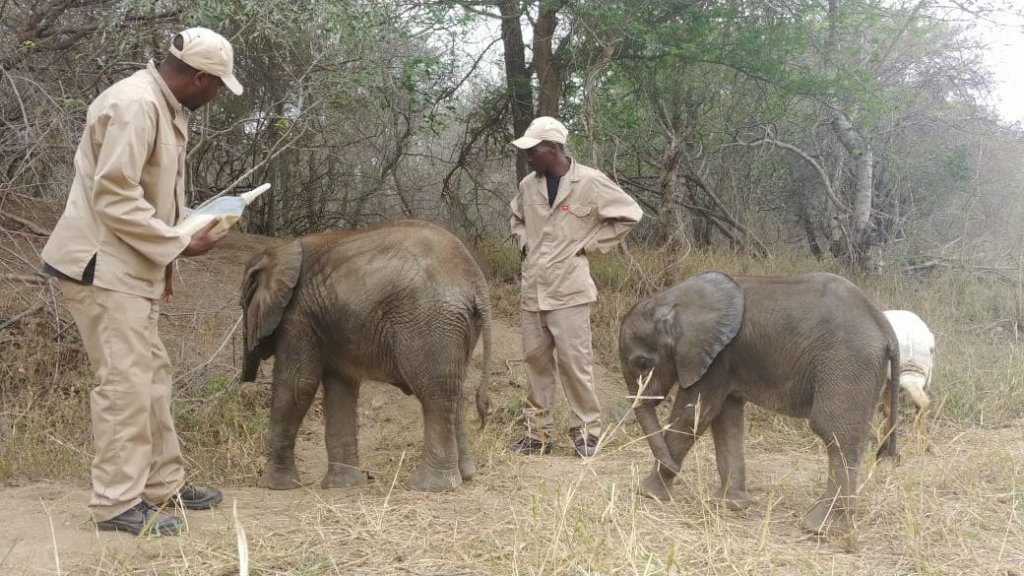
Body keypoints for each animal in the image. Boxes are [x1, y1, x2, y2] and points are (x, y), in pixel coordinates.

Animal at [240, 219, 492, 493]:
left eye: (242, 305)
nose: (245, 379)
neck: (281, 251)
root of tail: (476, 281)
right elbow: (340, 387)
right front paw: (344, 486)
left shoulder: (297, 316)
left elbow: (297, 384)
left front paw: (274, 486)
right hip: (457, 325)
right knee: (455, 391)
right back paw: (465, 476)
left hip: (432, 321)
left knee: (435, 394)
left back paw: (429, 486)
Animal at [618, 271, 899, 533]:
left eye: (643, 363)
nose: (673, 467)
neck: (672, 299)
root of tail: (886, 329)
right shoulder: (727, 360)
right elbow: (725, 418)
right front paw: (729, 505)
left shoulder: (718, 357)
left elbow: (693, 414)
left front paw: (649, 494)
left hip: (848, 365)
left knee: (835, 434)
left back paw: (819, 528)